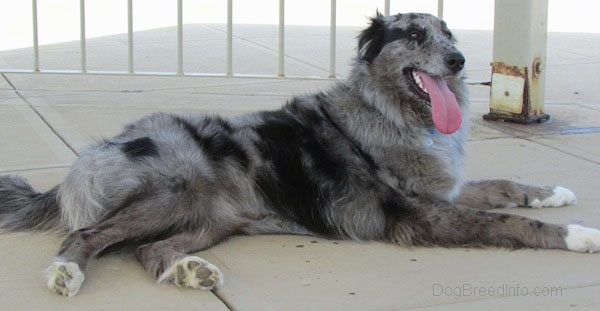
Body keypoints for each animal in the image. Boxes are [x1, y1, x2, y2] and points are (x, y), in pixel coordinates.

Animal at [1, 13, 600, 298]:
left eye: (448, 33)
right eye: (411, 35)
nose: (458, 60)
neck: (391, 112)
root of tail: (89, 155)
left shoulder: (442, 188)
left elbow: (503, 185)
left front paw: (555, 194)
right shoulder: (417, 213)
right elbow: (503, 221)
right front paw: (578, 234)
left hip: (213, 218)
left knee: (151, 250)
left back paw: (190, 271)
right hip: (177, 190)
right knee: (87, 235)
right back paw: (65, 275)